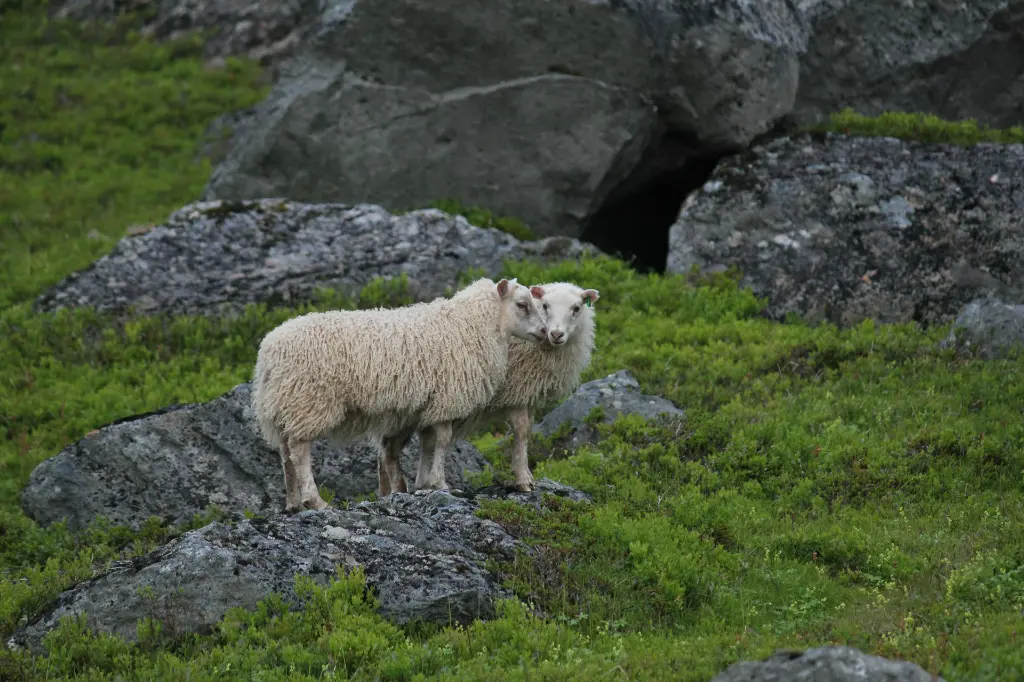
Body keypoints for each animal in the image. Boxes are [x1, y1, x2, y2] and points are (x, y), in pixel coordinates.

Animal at [251, 276, 548, 509]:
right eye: (523, 305)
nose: (546, 332)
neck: (471, 325)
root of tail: (268, 351)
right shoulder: (447, 399)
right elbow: (442, 441)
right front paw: (441, 483)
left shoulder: (428, 405)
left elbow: (428, 444)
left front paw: (424, 483)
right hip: (309, 401)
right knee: (299, 450)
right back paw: (314, 501)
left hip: (287, 404)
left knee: (285, 453)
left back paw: (293, 503)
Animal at [419, 280, 598, 489]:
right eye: (546, 306)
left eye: (576, 308)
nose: (556, 334)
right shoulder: (517, 391)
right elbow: (521, 430)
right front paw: (522, 478)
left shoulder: (529, 393)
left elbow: (528, 430)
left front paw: (526, 473)